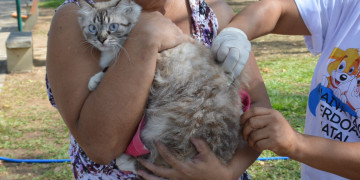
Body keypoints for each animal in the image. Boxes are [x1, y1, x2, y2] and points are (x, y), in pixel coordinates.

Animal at [78, 0, 246, 173]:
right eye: (93, 28)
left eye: (113, 26)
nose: (101, 39)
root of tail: (224, 154)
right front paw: (96, 79)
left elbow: (108, 68)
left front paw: (95, 80)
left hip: (170, 126)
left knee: (160, 161)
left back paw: (125, 161)